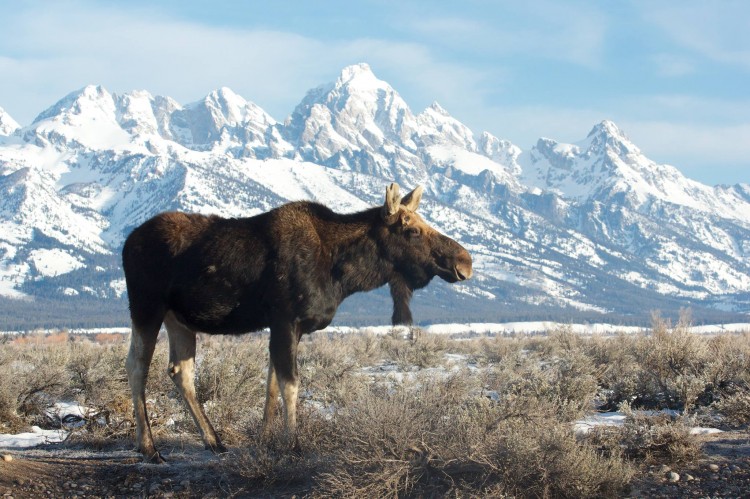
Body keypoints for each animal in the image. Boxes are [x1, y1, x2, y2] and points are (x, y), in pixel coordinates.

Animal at [123, 182, 476, 462]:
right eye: (411, 230)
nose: (466, 261)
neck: (341, 273)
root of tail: (126, 243)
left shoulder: (287, 326)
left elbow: (271, 384)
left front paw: (266, 441)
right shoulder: (285, 319)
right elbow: (290, 383)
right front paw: (292, 444)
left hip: (180, 319)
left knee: (180, 371)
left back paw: (213, 441)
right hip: (146, 306)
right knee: (136, 366)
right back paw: (149, 448)